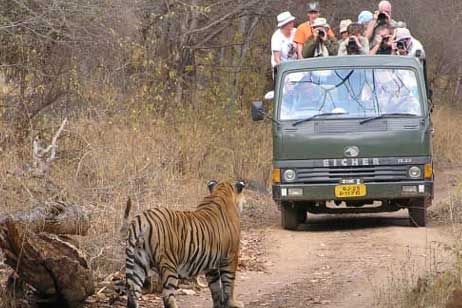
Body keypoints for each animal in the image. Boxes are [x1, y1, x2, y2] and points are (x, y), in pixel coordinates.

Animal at [121, 179, 247, 308]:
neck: (221, 192)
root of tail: (142, 219)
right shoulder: (231, 256)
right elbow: (229, 283)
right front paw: (233, 303)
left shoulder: (211, 264)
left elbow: (215, 287)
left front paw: (218, 305)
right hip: (169, 265)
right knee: (167, 297)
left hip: (138, 262)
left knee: (133, 294)